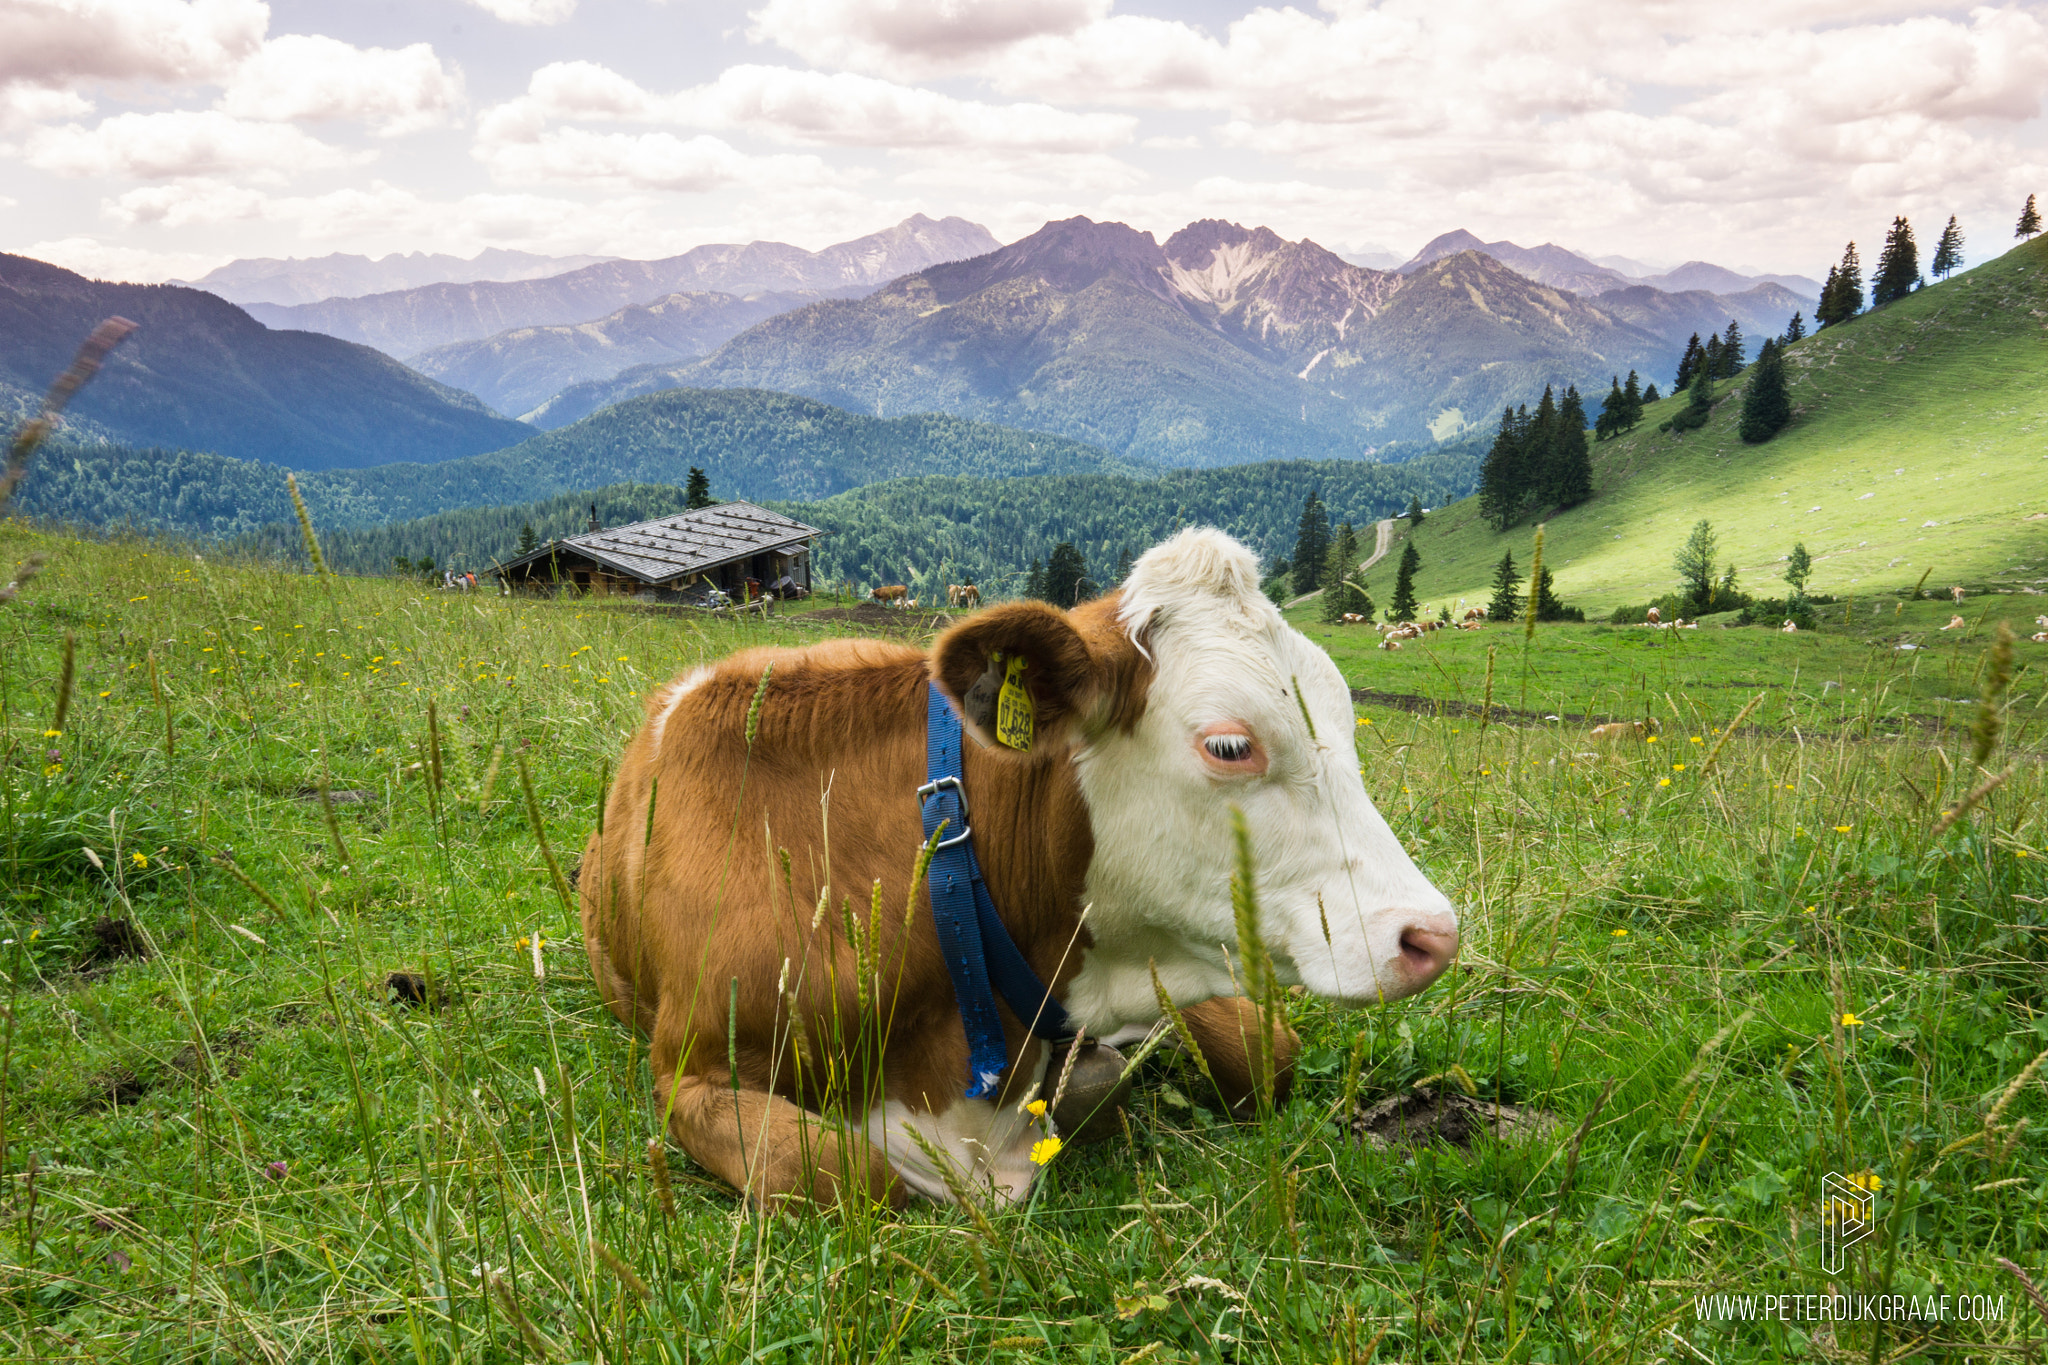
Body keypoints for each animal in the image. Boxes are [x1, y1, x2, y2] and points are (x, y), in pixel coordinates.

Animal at [585, 532, 1466, 1203]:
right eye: (1228, 744)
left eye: (1346, 720)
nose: (1432, 934)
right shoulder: (689, 1072)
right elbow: (840, 1172)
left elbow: (1265, 1051)